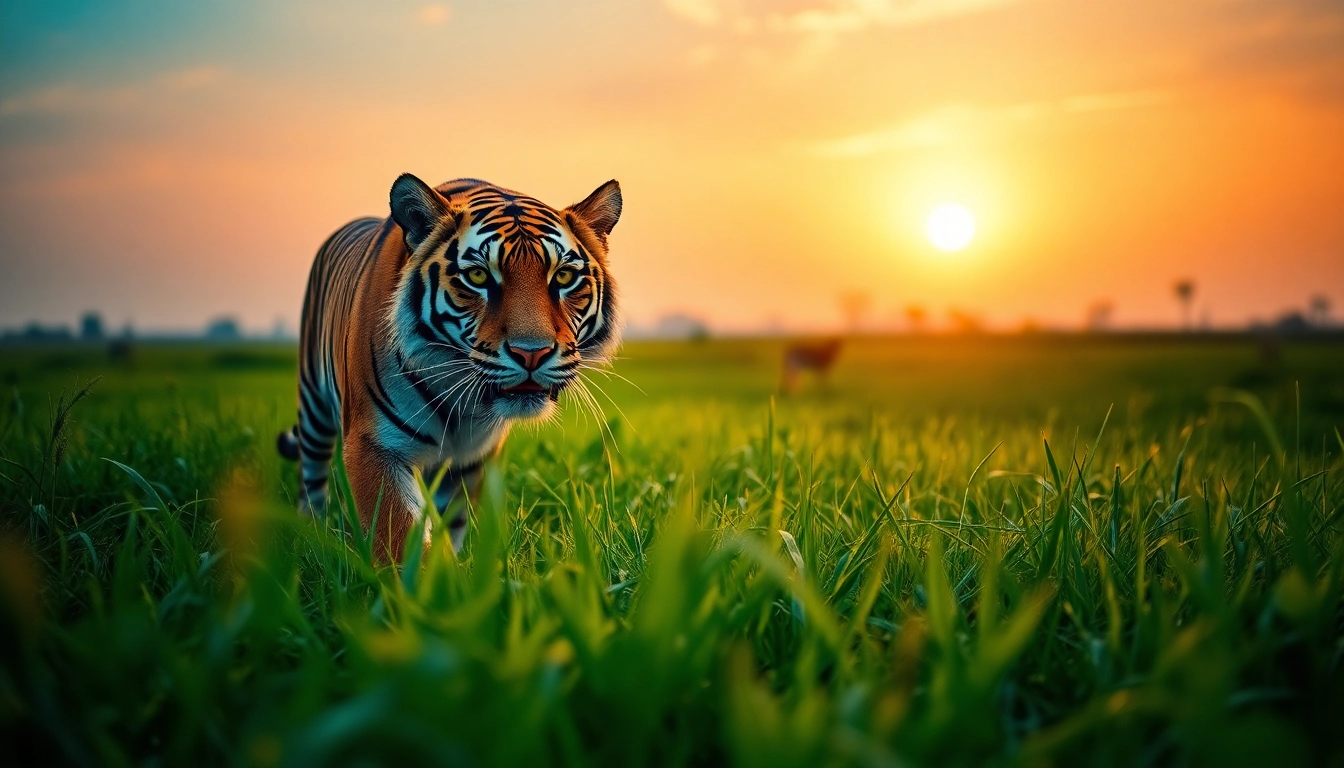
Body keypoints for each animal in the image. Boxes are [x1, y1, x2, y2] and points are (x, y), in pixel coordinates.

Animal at [276, 174, 622, 562]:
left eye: (563, 278)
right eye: (478, 276)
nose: (532, 353)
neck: (461, 400)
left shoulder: (470, 460)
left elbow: (450, 526)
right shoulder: (374, 446)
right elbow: (399, 540)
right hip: (314, 410)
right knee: (311, 481)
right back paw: (313, 534)